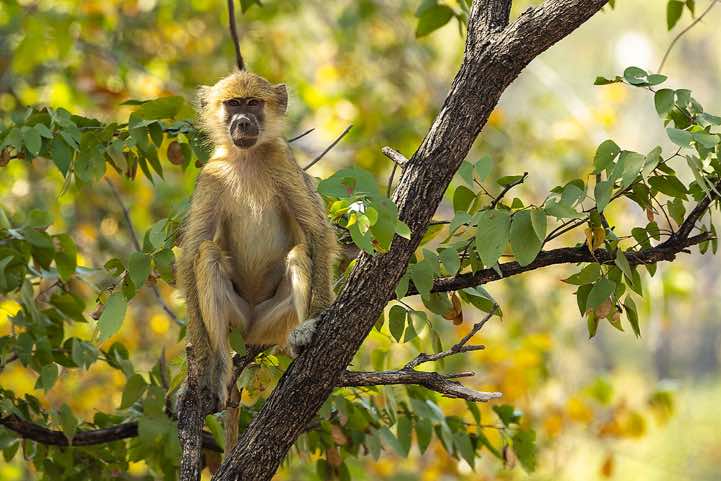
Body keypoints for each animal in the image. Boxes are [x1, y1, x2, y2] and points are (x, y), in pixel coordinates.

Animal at [177, 70, 338, 454]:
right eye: (233, 103)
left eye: (253, 103)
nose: (243, 122)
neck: (246, 158)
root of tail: (250, 330)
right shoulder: (212, 173)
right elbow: (191, 255)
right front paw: (200, 374)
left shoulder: (283, 162)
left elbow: (317, 235)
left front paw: (316, 320)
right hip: (235, 320)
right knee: (208, 255)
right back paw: (220, 368)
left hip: (271, 323)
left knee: (299, 254)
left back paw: (299, 337)